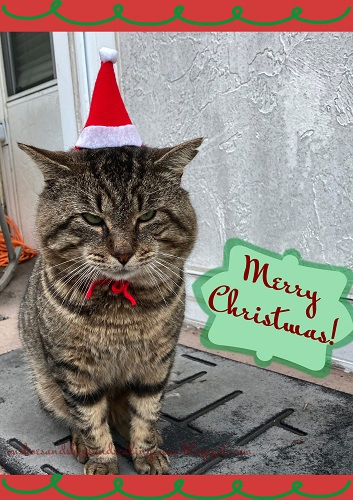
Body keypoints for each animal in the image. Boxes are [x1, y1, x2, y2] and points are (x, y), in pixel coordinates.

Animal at [17, 139, 202, 474]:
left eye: (147, 215)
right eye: (92, 219)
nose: (124, 253)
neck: (119, 311)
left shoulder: (156, 364)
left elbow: (146, 412)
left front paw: (146, 453)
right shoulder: (73, 367)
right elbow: (89, 418)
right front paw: (102, 461)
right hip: (45, 382)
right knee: (71, 415)